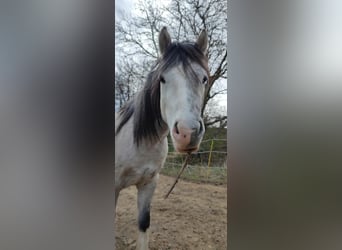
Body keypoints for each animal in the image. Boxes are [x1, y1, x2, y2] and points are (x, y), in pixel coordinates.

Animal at [115, 27, 208, 250]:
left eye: (204, 79)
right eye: (162, 79)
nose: (188, 132)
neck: (138, 143)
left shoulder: (149, 183)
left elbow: (143, 223)